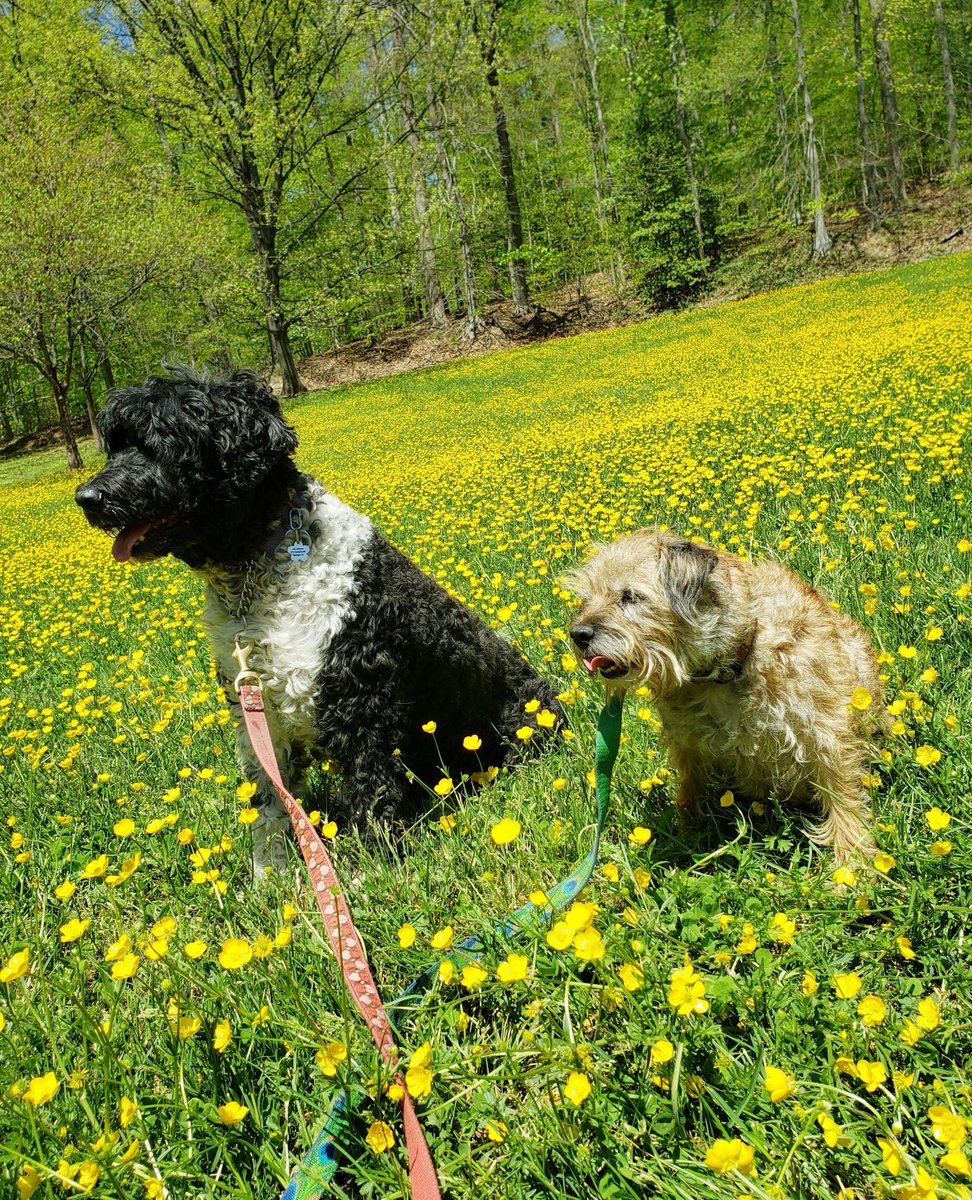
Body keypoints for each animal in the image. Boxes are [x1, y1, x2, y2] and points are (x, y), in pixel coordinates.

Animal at [75, 367, 561, 873]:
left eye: (156, 443)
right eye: (115, 445)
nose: (85, 497)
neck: (256, 574)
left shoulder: (361, 701)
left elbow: (371, 792)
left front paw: (375, 868)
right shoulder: (257, 711)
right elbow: (270, 801)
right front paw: (271, 872)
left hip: (523, 722)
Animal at [564, 528, 883, 864]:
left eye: (629, 596)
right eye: (584, 599)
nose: (579, 634)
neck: (725, 671)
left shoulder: (826, 735)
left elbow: (842, 797)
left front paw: (854, 862)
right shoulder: (688, 744)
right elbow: (690, 789)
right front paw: (687, 836)